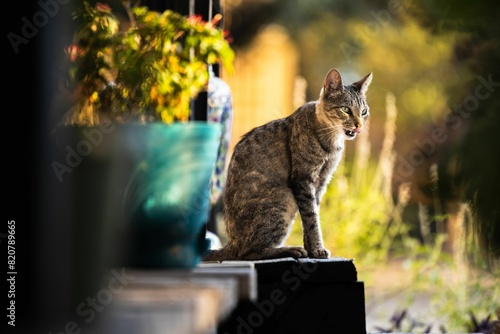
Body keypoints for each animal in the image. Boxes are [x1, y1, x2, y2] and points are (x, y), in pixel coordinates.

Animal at [203, 67, 372, 260]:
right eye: (345, 109)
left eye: (364, 111)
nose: (359, 125)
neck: (331, 141)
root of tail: (232, 244)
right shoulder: (303, 179)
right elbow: (312, 218)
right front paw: (317, 249)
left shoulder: (321, 183)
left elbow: (312, 215)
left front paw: (312, 249)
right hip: (283, 198)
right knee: (249, 252)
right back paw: (290, 249)